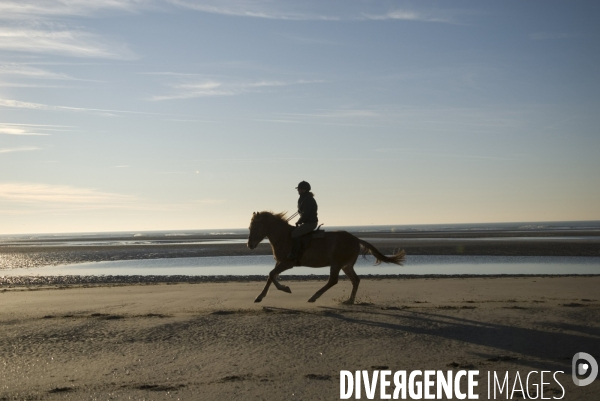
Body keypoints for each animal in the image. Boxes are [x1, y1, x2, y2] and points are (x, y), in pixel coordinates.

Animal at [246, 211, 406, 302]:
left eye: (255, 227)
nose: (250, 245)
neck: (284, 236)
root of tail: (356, 239)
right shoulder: (279, 262)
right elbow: (271, 276)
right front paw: (260, 296)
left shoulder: (287, 263)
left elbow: (271, 274)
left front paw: (285, 288)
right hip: (346, 265)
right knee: (355, 280)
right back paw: (350, 300)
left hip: (336, 264)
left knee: (333, 280)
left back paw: (314, 297)